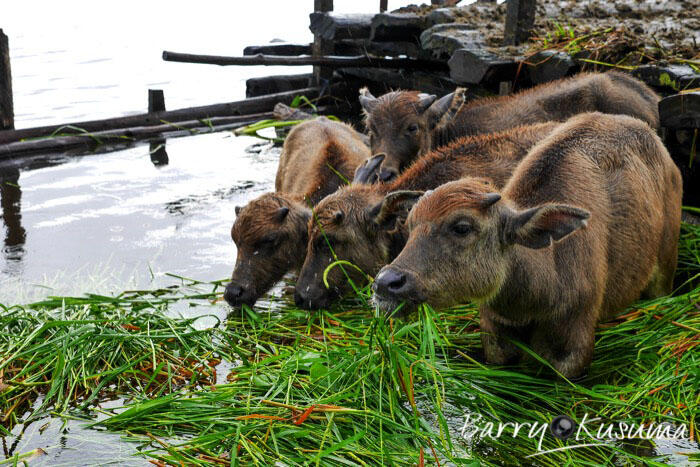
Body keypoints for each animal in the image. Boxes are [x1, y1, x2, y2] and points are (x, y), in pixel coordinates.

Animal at [374, 113, 680, 380]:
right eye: (411, 224)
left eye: (462, 227)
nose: (386, 283)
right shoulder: (496, 338)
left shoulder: (573, 350)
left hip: (664, 272)